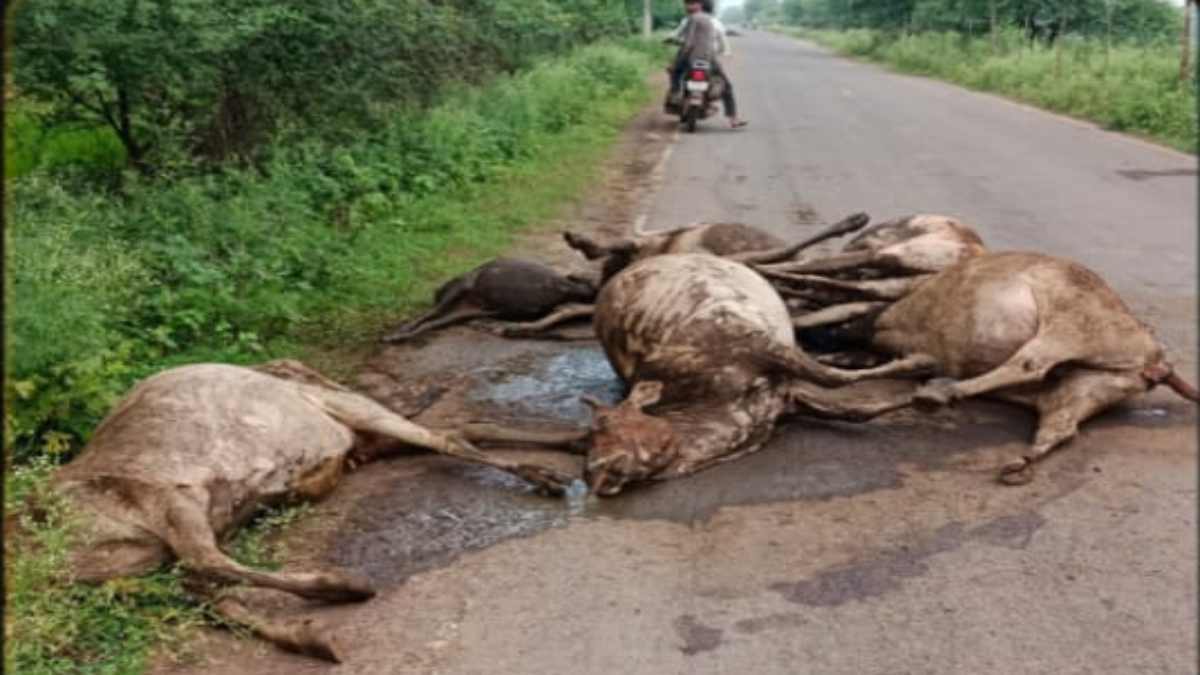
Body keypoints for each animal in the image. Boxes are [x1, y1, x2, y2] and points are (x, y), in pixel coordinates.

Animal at [56, 360, 576, 658]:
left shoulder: (170, 498)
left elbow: (210, 572)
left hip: (343, 411)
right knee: (461, 429)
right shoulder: (156, 527)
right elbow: (210, 586)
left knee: (449, 434)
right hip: (356, 430)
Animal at [801, 249, 1195, 480]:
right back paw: (1021, 458)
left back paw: (937, 395)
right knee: (1060, 426)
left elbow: (874, 364)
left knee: (1029, 364)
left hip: (1071, 324)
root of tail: (1158, 360)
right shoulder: (921, 349)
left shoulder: (925, 344)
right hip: (1085, 388)